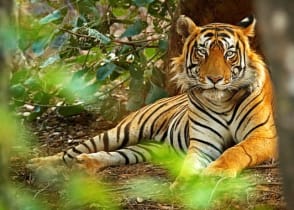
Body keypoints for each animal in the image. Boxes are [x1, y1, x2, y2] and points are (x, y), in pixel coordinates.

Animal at [27, 14, 278, 185]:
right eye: (202, 52)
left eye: (229, 54)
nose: (214, 79)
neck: (222, 101)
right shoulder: (203, 142)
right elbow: (190, 164)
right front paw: (184, 184)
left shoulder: (264, 135)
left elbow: (236, 150)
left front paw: (216, 172)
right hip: (123, 131)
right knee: (72, 150)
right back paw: (38, 164)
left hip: (149, 148)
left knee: (114, 155)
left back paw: (85, 163)